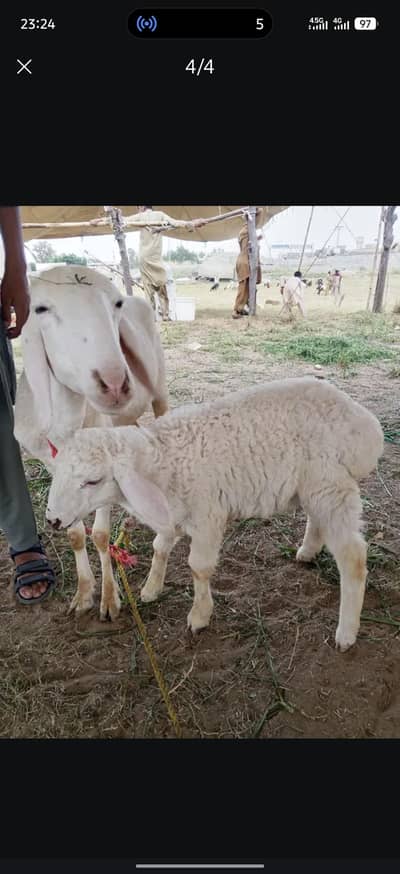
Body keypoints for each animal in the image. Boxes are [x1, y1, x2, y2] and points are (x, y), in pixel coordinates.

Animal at [14, 265, 168, 620]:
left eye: (116, 304)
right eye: (40, 309)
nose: (115, 383)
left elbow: (99, 535)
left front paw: (110, 598)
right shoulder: (54, 465)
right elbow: (74, 533)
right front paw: (84, 593)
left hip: (160, 389)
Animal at [46, 376, 384, 651]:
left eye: (93, 481)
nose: (53, 520)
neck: (162, 459)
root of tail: (366, 424)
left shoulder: (207, 515)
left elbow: (199, 567)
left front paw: (199, 614)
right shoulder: (173, 512)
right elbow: (160, 547)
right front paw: (152, 588)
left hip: (331, 486)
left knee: (353, 557)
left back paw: (346, 633)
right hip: (316, 486)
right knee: (318, 520)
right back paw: (307, 551)